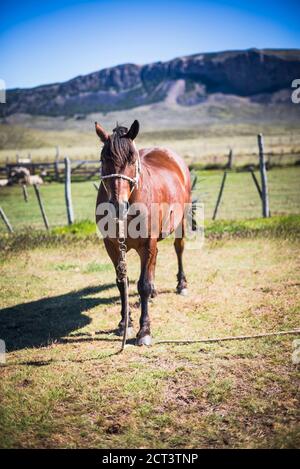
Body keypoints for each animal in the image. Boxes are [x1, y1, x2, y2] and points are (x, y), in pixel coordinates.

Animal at [95, 120, 191, 344]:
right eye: (103, 158)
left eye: (132, 159)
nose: (118, 205)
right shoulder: (112, 246)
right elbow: (122, 283)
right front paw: (125, 324)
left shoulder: (147, 243)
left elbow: (143, 285)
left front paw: (145, 331)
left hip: (181, 220)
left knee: (179, 248)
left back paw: (181, 285)